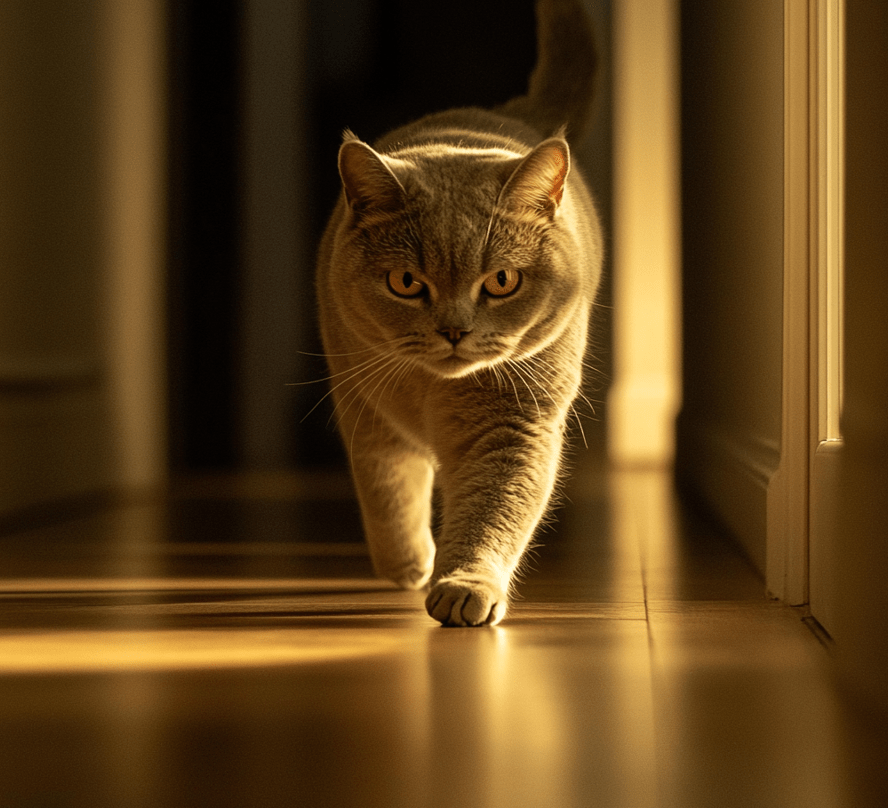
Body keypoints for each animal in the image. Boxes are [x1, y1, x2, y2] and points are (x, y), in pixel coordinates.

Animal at [314, 0, 604, 628]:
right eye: (406, 283)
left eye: (501, 281)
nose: (453, 330)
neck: (435, 393)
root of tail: (507, 114)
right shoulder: (360, 401)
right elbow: (388, 485)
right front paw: (408, 565)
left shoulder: (517, 425)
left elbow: (493, 509)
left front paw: (463, 587)